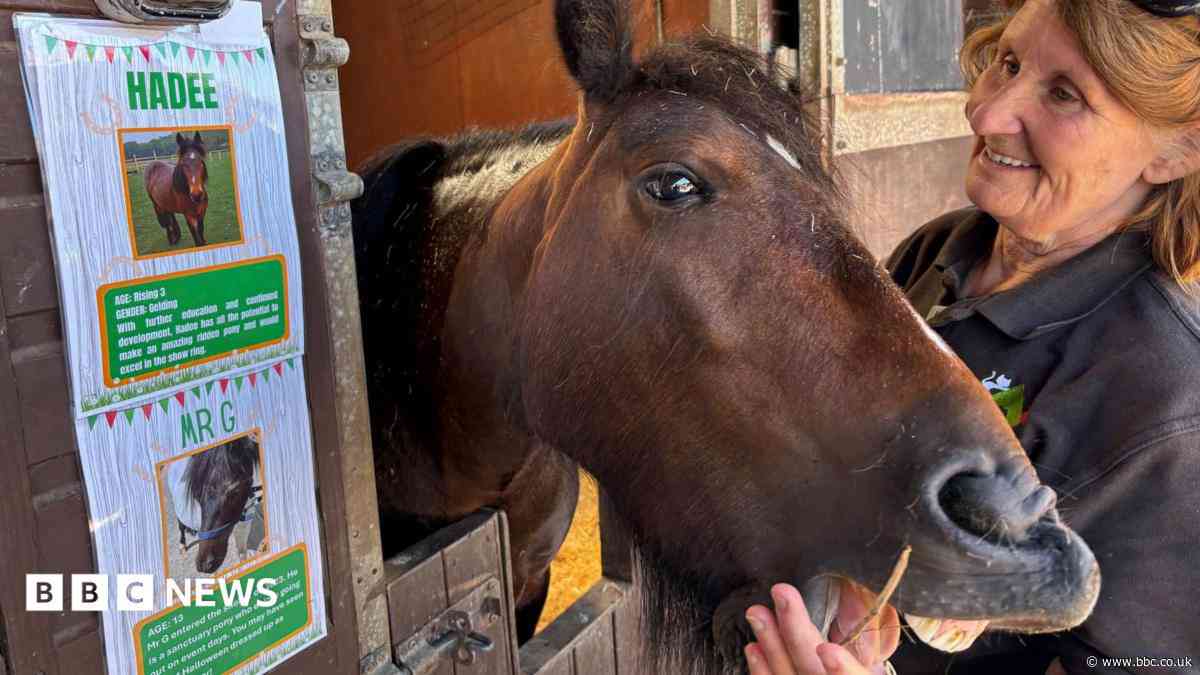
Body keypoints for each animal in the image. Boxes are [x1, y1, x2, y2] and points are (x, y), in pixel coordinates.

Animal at [166, 435, 262, 575]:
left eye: (234, 491)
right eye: (195, 494)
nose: (204, 565)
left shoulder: (244, 527)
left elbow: (242, 553)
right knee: (181, 525)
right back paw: (182, 545)